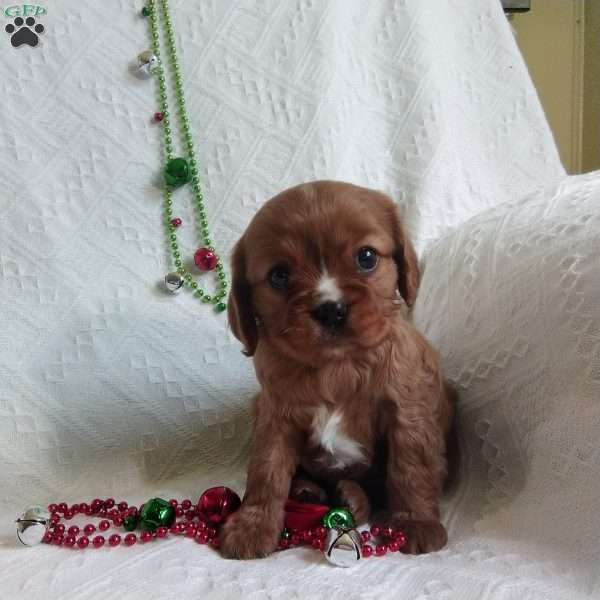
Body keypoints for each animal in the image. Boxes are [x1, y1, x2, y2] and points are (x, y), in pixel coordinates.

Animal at [220, 180, 454, 560]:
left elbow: (410, 466)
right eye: (279, 275)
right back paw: (312, 491)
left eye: (367, 257)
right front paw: (252, 526)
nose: (331, 309)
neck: (336, 367)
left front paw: (417, 522)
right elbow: (266, 470)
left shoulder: (408, 409)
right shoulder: (274, 415)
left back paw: (352, 496)